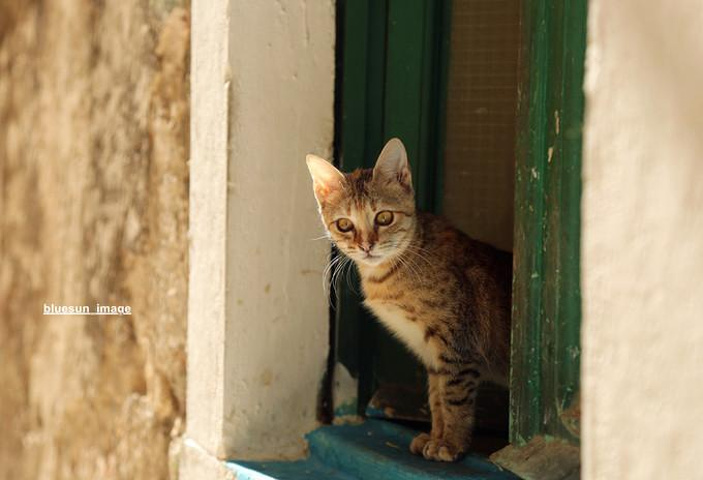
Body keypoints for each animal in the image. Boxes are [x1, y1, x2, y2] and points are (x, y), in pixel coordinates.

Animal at [306, 138, 516, 462]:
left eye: (384, 217)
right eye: (344, 225)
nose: (366, 246)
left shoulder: (457, 346)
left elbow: (454, 399)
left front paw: (451, 444)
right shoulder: (432, 354)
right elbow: (436, 399)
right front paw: (436, 437)